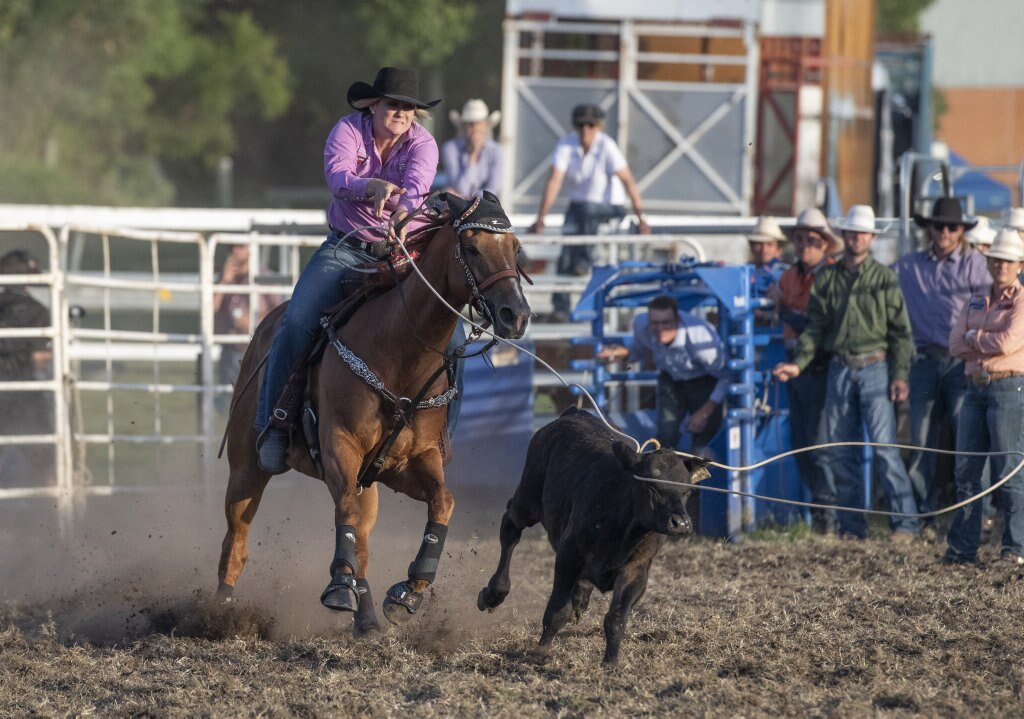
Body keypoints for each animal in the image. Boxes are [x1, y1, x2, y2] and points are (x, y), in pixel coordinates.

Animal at [219, 192, 532, 635]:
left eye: (515, 248)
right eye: (471, 247)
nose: (516, 315)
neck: (399, 351)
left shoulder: (410, 462)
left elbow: (443, 502)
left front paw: (409, 592)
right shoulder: (339, 446)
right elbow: (346, 511)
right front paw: (338, 586)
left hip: (367, 483)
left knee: (362, 541)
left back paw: (365, 619)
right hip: (247, 465)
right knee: (237, 539)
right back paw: (219, 610)